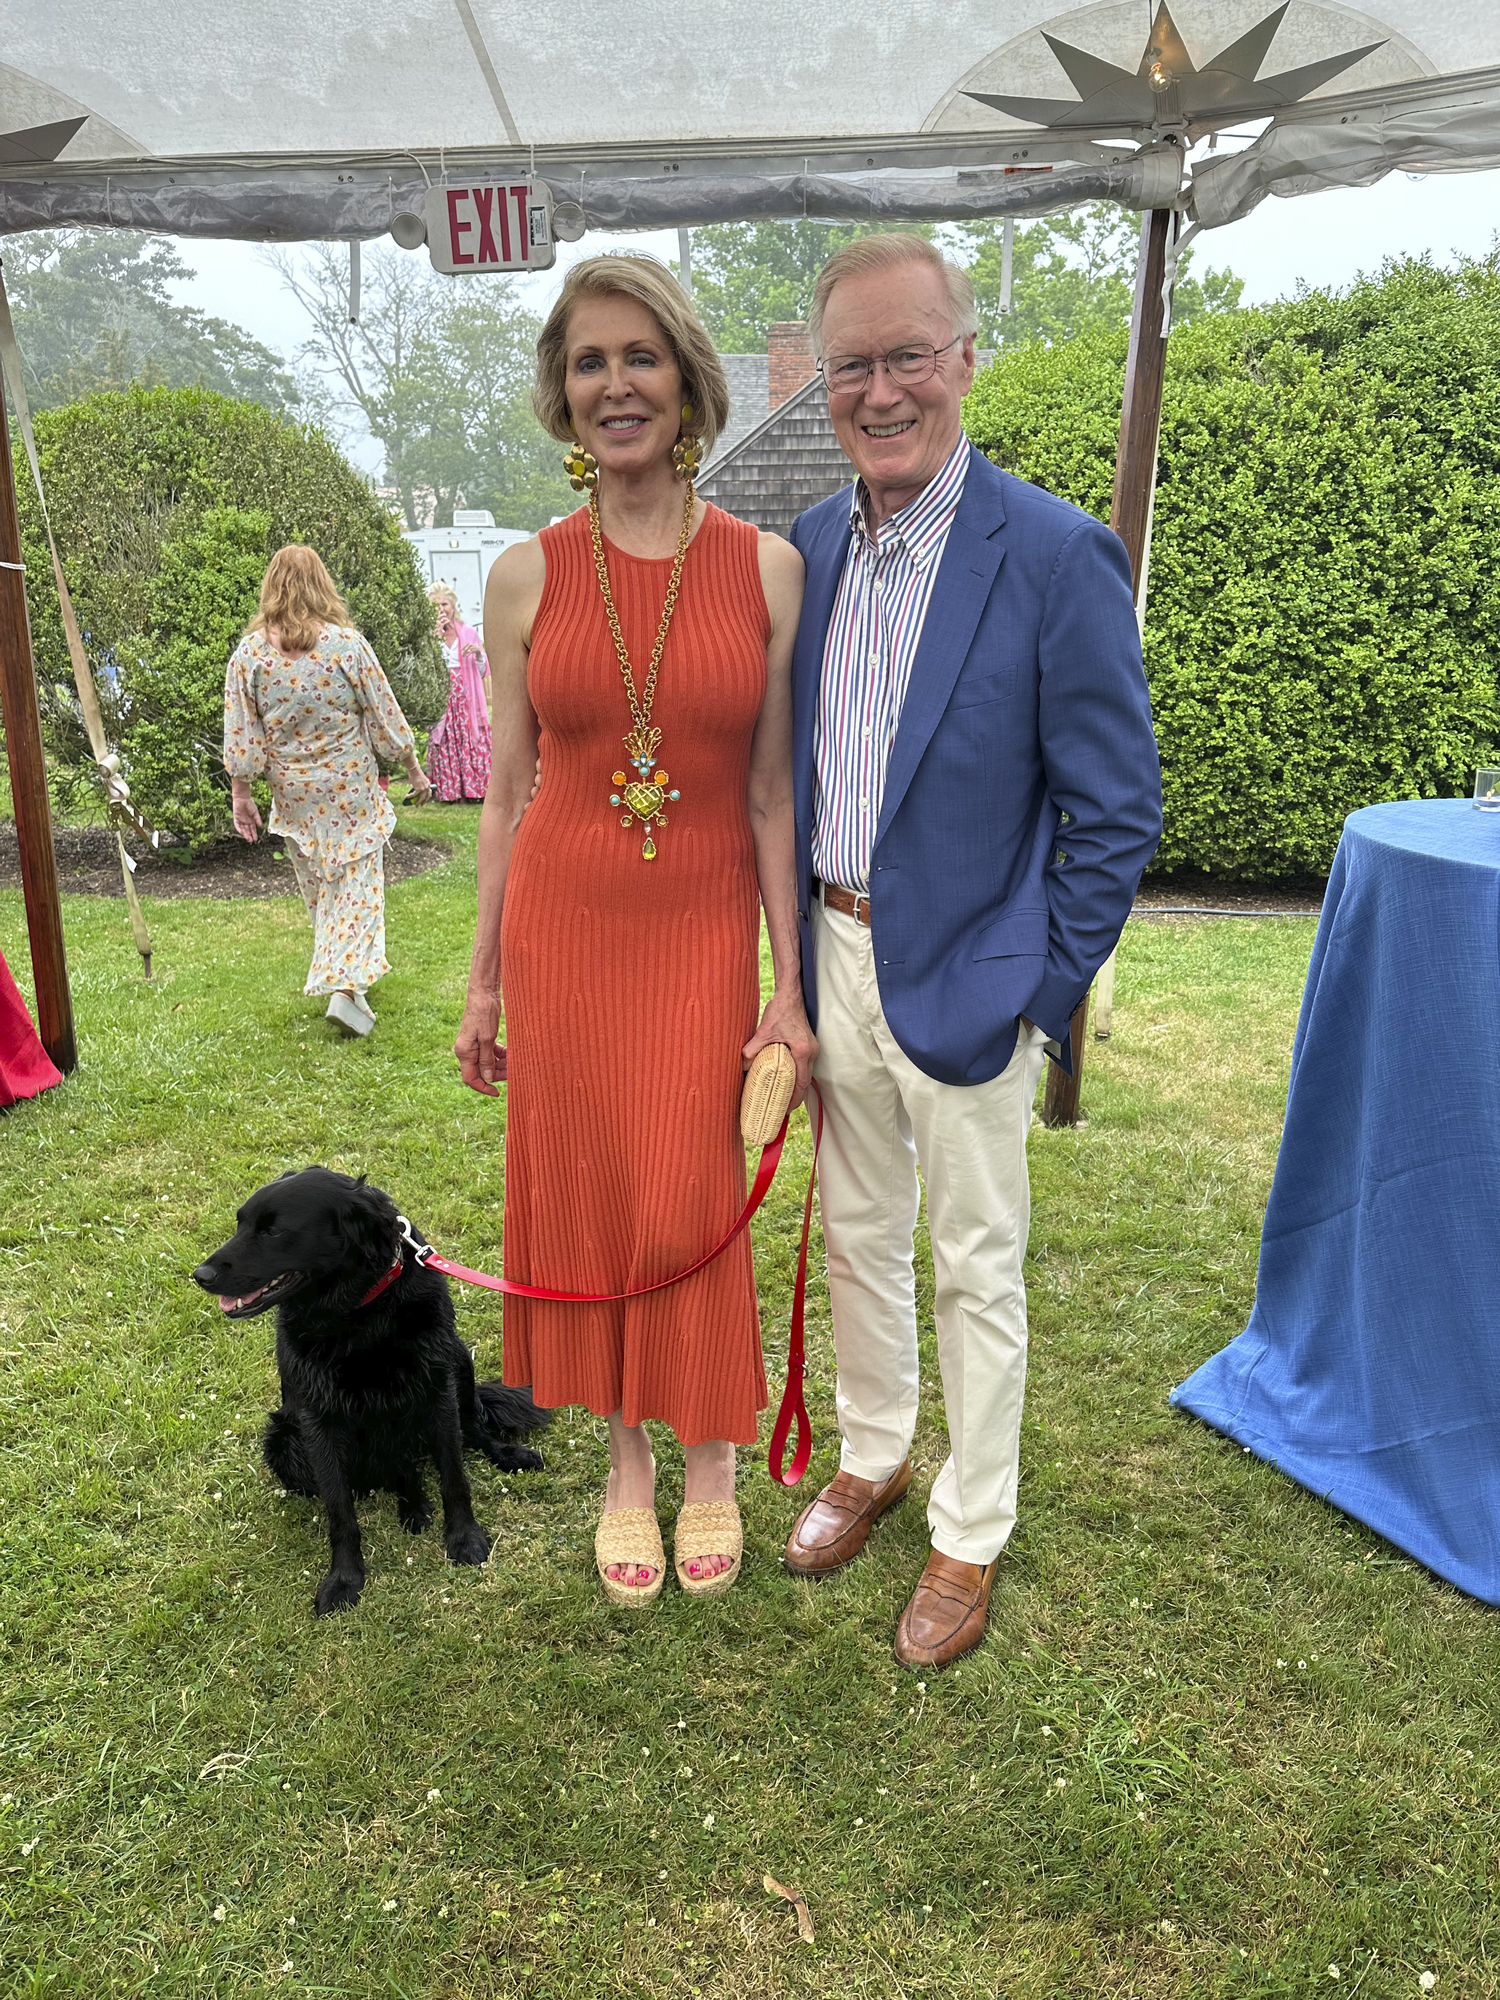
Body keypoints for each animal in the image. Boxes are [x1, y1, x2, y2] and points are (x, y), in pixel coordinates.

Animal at [191, 1168, 548, 1616]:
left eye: (273, 1230)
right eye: (241, 1223)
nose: (200, 1275)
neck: (356, 1311)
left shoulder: (437, 1388)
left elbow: (454, 1476)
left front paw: (465, 1538)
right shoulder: (317, 1419)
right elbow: (340, 1511)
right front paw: (344, 1579)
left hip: (459, 1360)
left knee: (474, 1430)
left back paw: (503, 1457)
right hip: (284, 1440)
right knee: (399, 1467)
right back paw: (412, 1505)